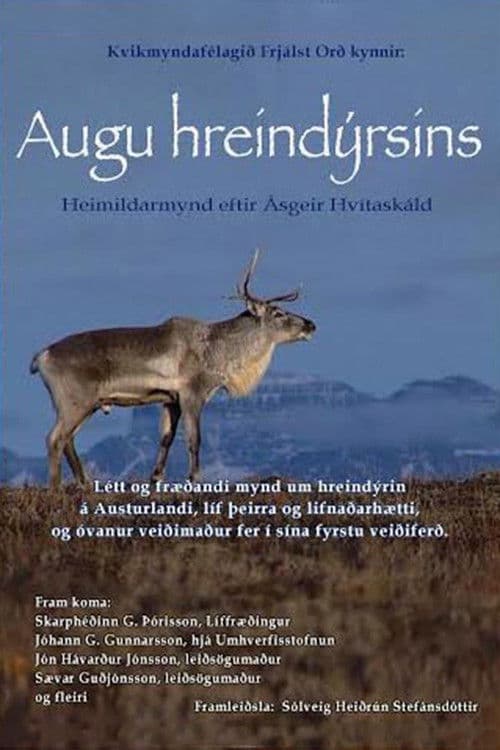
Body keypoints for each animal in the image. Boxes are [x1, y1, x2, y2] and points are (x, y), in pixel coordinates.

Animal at [30, 250, 316, 488]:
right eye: (278, 312)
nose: (311, 324)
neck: (218, 351)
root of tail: (41, 357)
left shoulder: (170, 400)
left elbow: (166, 438)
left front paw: (155, 478)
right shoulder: (192, 395)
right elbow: (194, 439)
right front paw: (194, 480)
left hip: (87, 405)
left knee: (68, 440)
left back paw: (84, 483)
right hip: (74, 401)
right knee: (54, 439)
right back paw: (55, 489)